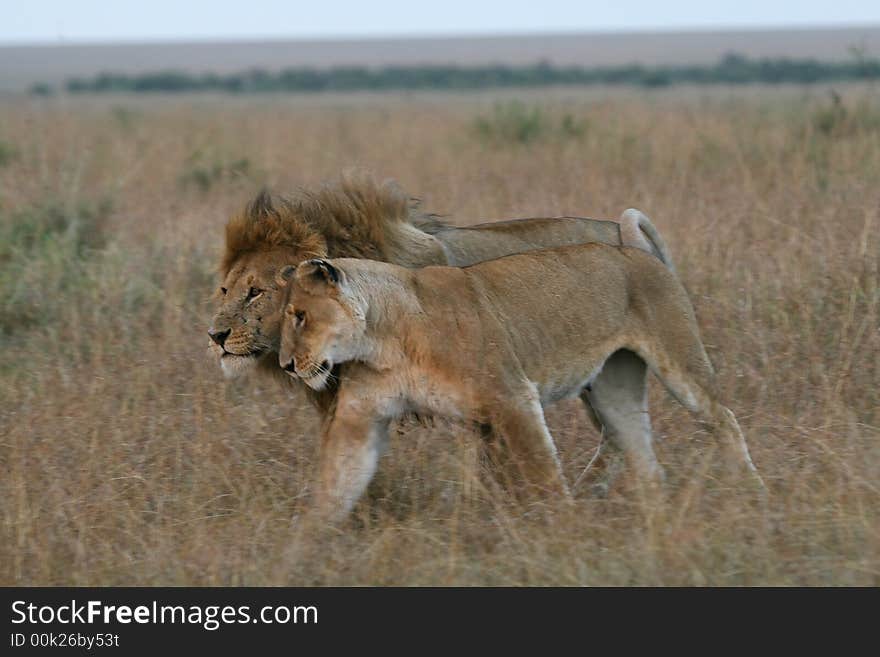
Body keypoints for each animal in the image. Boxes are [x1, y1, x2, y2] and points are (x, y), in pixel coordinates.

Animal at [278, 249, 760, 520]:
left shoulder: (512, 397)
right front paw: (305, 545)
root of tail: (634, 249)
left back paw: (750, 490)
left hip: (679, 363)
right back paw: (654, 515)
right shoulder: (360, 416)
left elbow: (542, 471)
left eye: (300, 316)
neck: (385, 338)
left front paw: (564, 530)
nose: (285, 365)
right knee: (643, 456)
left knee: (725, 419)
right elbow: (338, 480)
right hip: (614, 392)